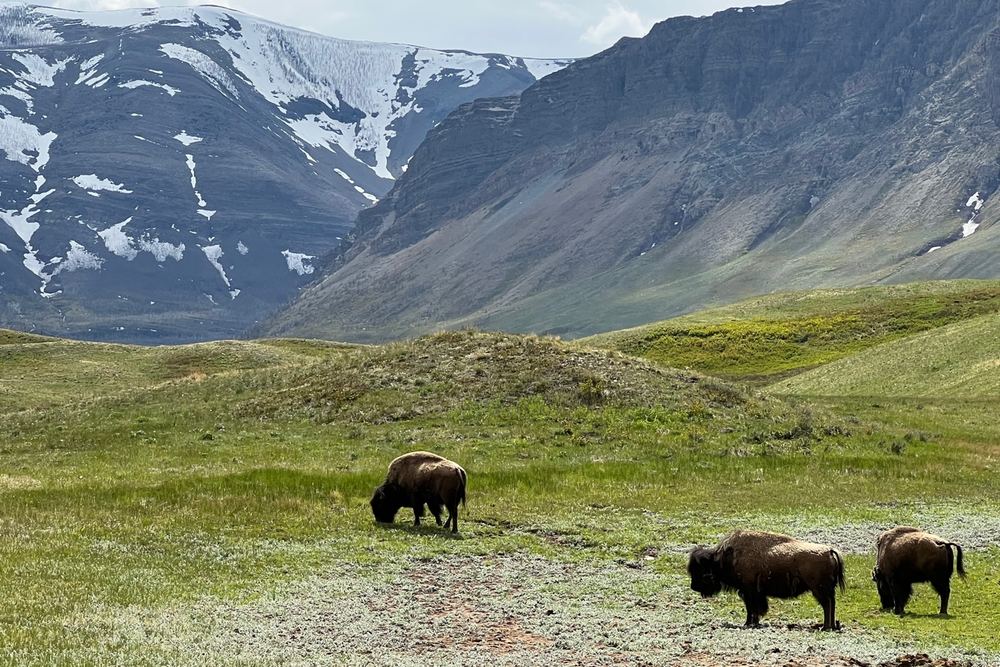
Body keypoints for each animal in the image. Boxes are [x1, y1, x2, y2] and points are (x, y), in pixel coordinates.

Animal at [688, 530, 846, 631]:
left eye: (701, 570)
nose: (693, 586)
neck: (726, 558)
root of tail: (829, 551)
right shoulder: (750, 593)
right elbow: (751, 609)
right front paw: (750, 623)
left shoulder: (750, 592)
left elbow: (752, 608)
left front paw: (750, 623)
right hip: (827, 590)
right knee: (832, 604)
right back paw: (831, 626)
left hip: (818, 590)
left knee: (827, 605)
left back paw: (825, 627)